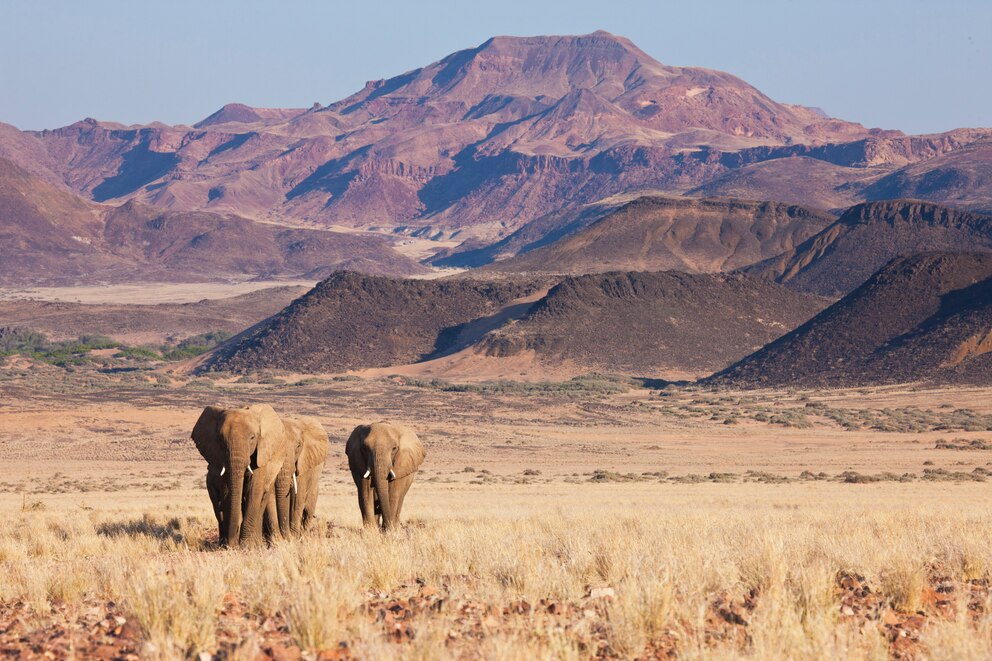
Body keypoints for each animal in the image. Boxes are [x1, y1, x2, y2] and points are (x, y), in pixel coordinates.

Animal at [191, 402, 288, 548]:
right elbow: (227, 491)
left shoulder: (261, 454)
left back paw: (255, 543)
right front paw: (231, 545)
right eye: (220, 439)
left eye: (252, 437)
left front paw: (246, 545)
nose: (232, 543)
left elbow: (254, 490)